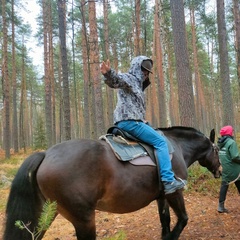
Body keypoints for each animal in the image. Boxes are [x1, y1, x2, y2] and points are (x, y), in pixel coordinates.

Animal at [3, 126, 221, 239]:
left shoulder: (162, 196)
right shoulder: (174, 192)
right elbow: (182, 220)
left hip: (45, 213)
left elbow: (165, 221)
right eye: (217, 149)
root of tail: (46, 154)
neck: (176, 147)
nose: (220, 171)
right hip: (83, 219)